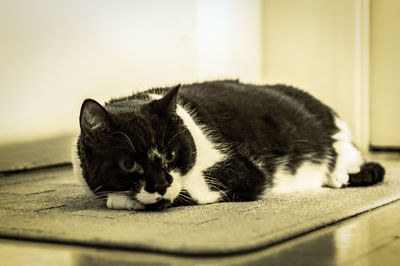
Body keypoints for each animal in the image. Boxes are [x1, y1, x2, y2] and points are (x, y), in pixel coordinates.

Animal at [72, 80, 384, 211]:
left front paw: (122, 199)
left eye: (171, 155)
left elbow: (186, 190)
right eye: (128, 164)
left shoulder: (243, 171)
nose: (159, 184)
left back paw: (341, 173)